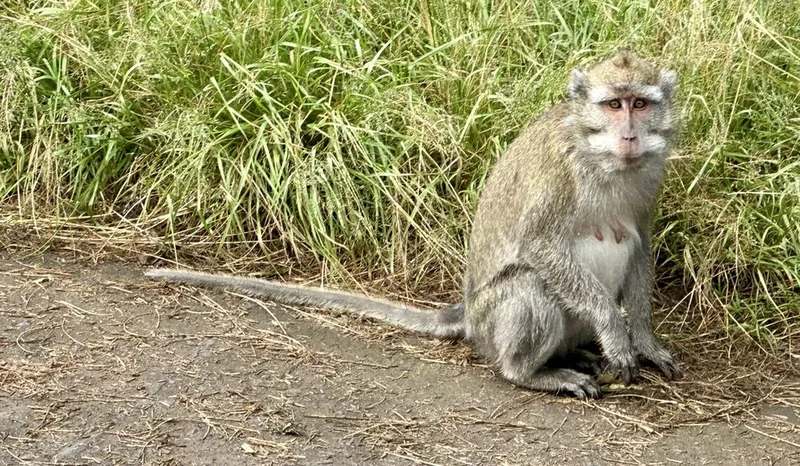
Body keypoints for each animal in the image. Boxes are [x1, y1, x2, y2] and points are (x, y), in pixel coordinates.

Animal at [146, 48, 682, 399]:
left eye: (640, 104)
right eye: (613, 105)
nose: (630, 135)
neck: (602, 158)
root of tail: (470, 318)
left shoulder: (651, 174)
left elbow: (640, 242)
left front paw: (642, 338)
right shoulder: (558, 172)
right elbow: (539, 247)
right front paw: (614, 328)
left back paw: (570, 355)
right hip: (493, 322)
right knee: (529, 285)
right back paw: (531, 373)